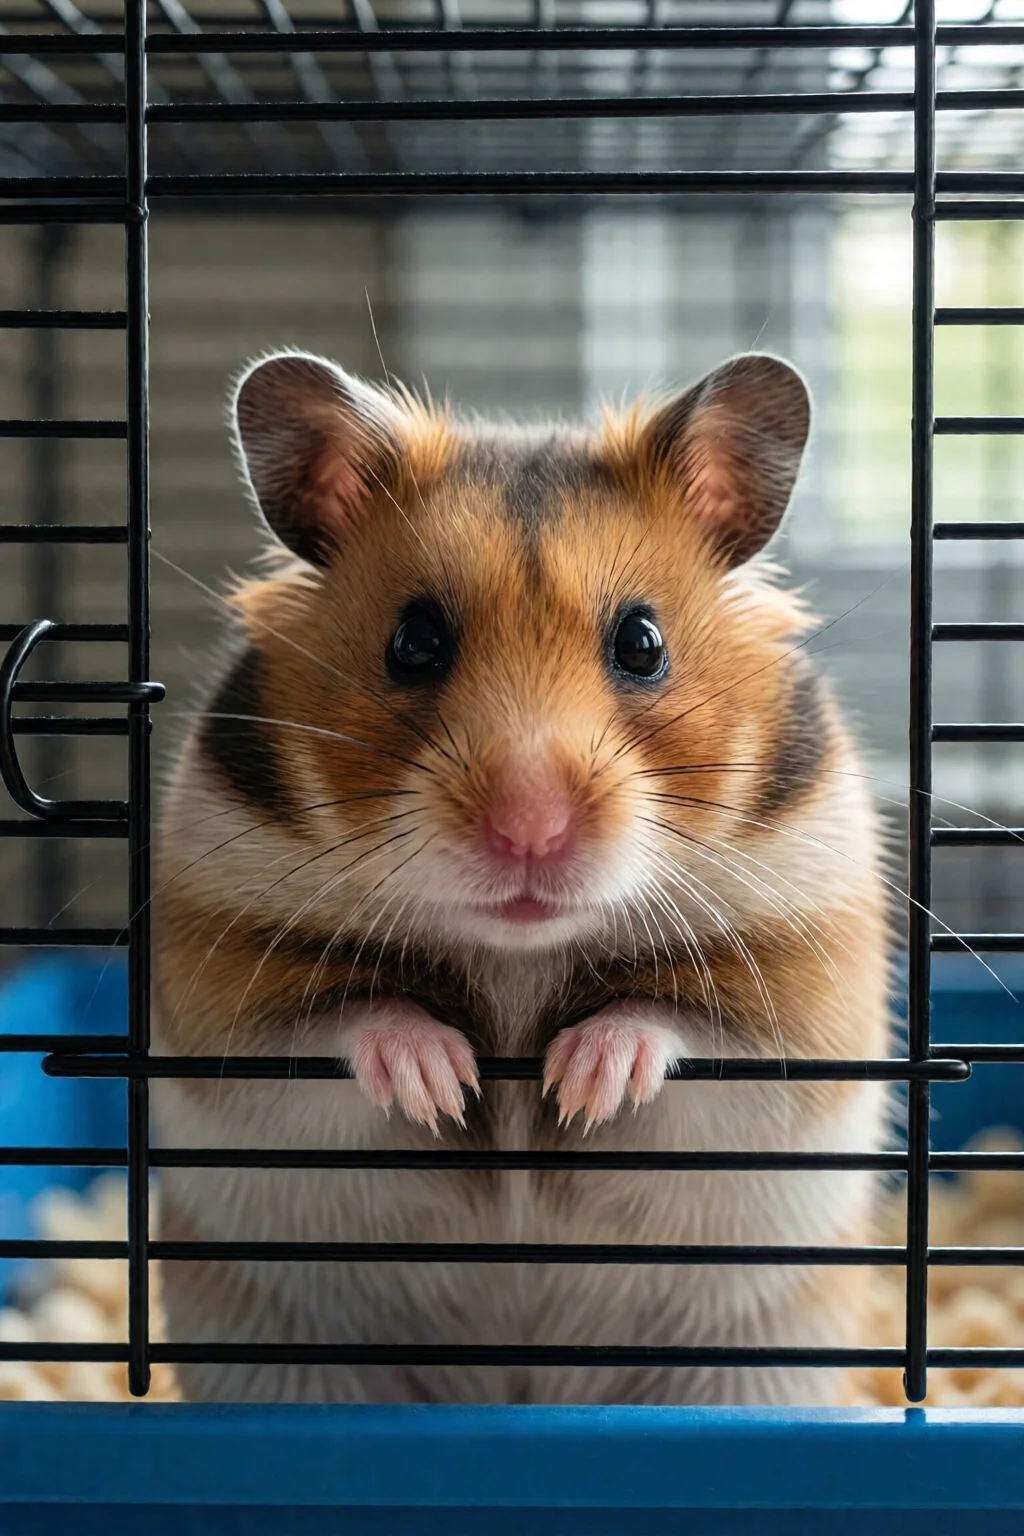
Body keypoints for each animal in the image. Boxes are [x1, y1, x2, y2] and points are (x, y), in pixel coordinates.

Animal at [151, 349, 890, 1407]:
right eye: (413, 641)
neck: (516, 953)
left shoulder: (800, 1002)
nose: (529, 833)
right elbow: (350, 1019)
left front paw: (583, 1081)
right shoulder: (227, 1000)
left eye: (642, 643)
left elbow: (670, 1023)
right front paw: (442, 1082)